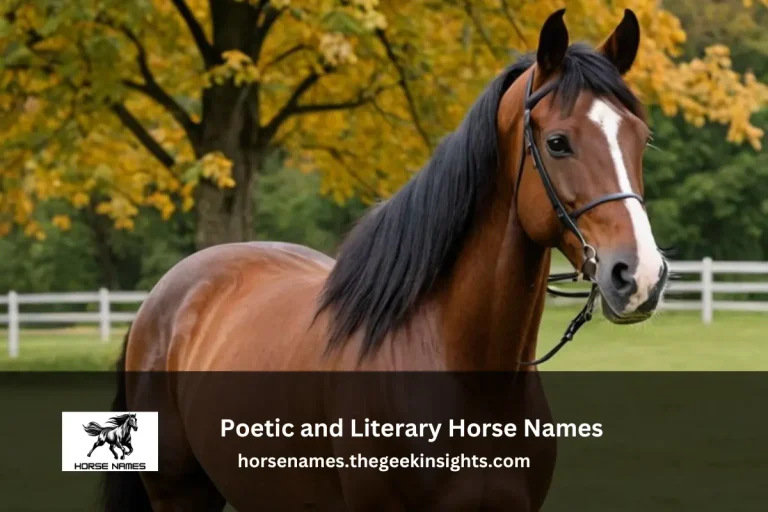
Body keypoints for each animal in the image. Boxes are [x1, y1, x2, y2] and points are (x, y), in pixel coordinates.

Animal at [105, 8, 669, 511]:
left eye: (640, 138)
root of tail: (166, 295)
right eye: (557, 142)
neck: (464, 370)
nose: (639, 275)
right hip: (180, 495)